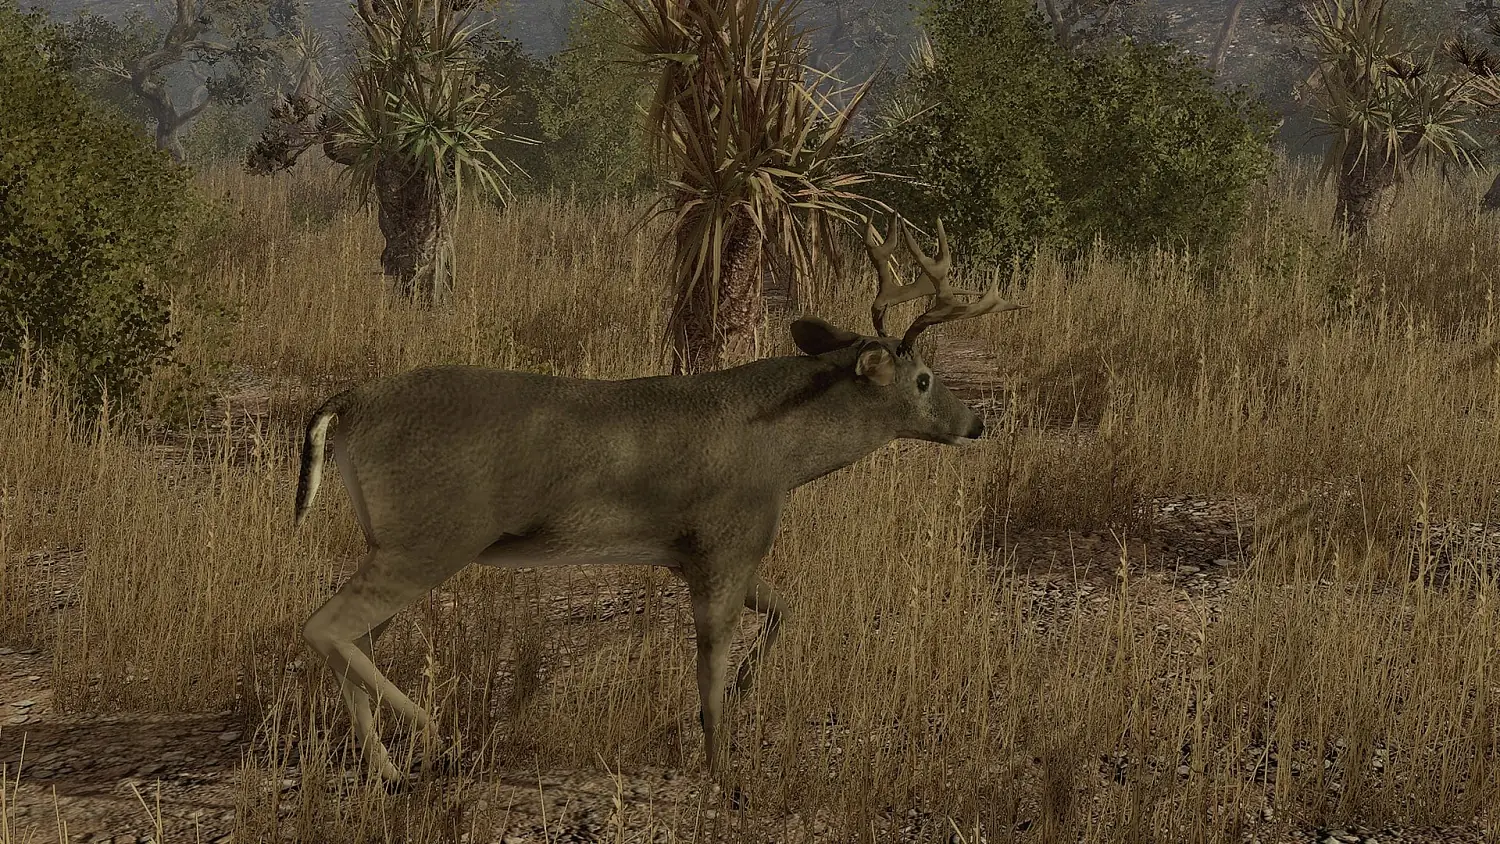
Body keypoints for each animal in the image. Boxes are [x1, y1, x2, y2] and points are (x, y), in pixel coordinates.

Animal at [293, 215, 1026, 786]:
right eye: (925, 378)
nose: (975, 424)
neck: (781, 454)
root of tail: (347, 402)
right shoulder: (727, 540)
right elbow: (709, 671)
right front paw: (725, 773)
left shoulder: (692, 554)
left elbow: (786, 608)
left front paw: (745, 693)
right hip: (434, 535)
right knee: (324, 625)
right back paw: (432, 728)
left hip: (396, 540)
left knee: (352, 638)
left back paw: (389, 769)